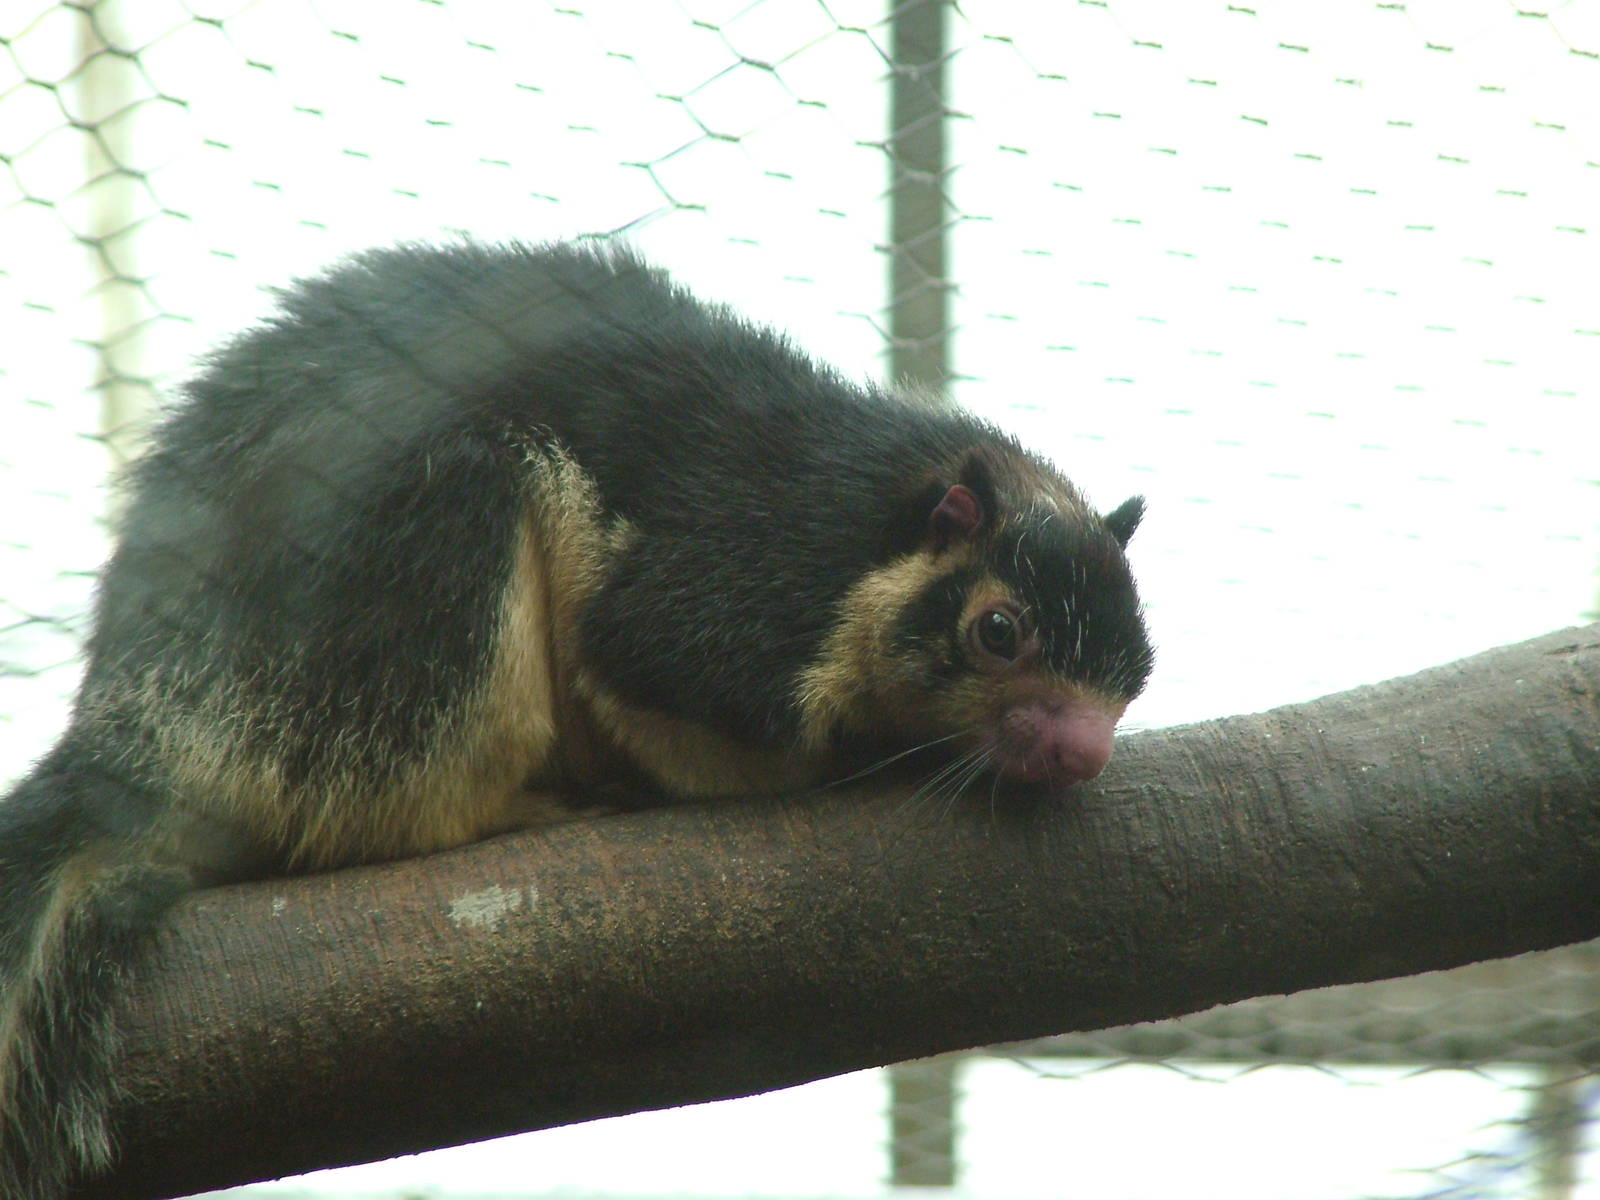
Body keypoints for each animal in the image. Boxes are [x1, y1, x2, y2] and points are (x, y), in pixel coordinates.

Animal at [0, 240, 1153, 1197]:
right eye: (998, 631)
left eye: (1139, 668)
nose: (1081, 752)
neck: (870, 521)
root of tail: (132, 735)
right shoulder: (728, 601)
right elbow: (659, 695)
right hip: (407, 582)